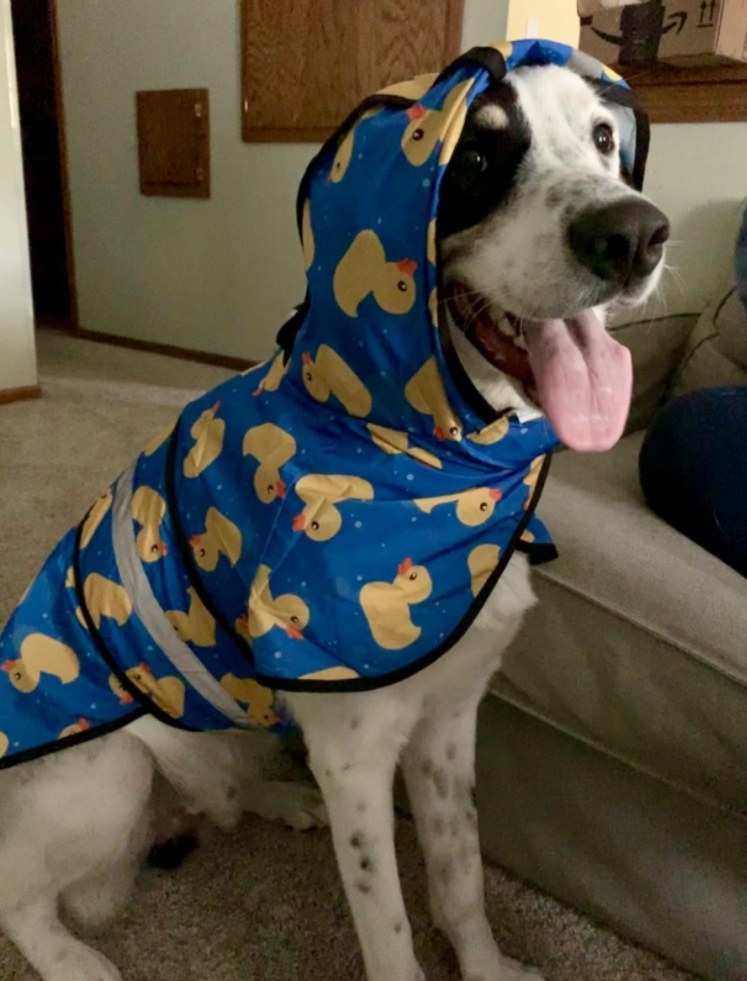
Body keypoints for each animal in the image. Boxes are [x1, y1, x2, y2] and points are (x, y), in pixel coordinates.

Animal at [0, 38, 668, 980]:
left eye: (605, 138)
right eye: (471, 157)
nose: (636, 233)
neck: (419, 464)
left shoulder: (449, 719)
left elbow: (459, 876)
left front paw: (486, 965)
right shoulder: (356, 756)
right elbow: (388, 932)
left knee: (228, 789)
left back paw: (276, 799)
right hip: (110, 769)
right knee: (16, 891)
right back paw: (70, 957)